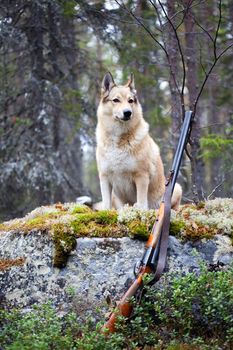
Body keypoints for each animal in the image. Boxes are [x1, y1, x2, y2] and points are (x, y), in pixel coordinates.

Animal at [95, 73, 182, 211]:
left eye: (130, 101)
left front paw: (139, 211)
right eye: (116, 100)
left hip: (177, 188)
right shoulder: (104, 177)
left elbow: (141, 202)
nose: (127, 112)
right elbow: (106, 203)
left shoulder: (141, 176)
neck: (118, 140)